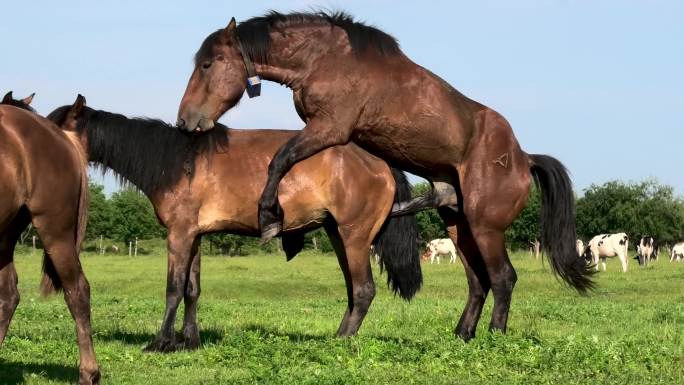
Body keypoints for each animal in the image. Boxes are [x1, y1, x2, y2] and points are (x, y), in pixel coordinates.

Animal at [48, 95, 420, 352]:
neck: (176, 162)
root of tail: (378, 162)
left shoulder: (178, 235)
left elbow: (173, 288)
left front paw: (161, 342)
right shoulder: (195, 236)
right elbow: (192, 289)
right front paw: (190, 340)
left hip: (354, 236)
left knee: (363, 290)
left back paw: (340, 340)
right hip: (337, 234)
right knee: (353, 291)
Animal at [179, 10, 596, 340]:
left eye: (208, 64)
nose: (186, 121)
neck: (323, 58)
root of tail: (523, 158)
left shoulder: (328, 128)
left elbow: (279, 160)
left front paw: (270, 218)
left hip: (485, 226)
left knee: (503, 277)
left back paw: (495, 335)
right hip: (457, 223)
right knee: (478, 280)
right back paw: (462, 335)